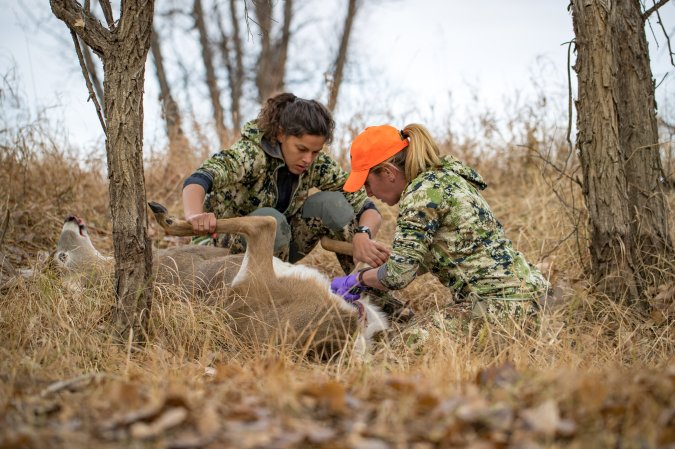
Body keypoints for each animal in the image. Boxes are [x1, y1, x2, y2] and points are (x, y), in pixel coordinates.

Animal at [52, 205, 388, 358]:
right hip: (256, 265)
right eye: (60, 257)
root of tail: (340, 331)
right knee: (263, 221)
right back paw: (164, 216)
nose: (69, 217)